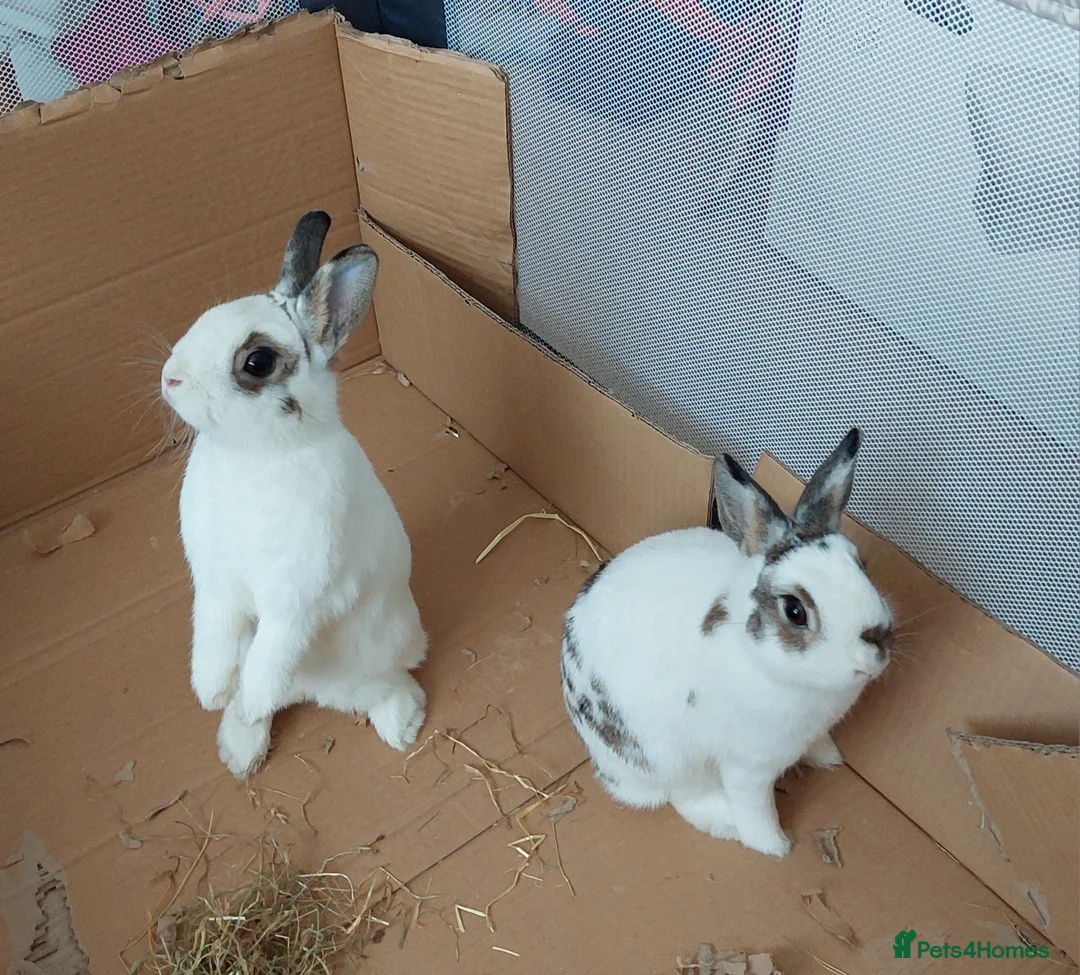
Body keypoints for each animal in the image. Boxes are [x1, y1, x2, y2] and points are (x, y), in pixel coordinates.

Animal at [161, 210, 428, 778]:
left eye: (257, 362)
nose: (169, 379)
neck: (255, 455)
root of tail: (313, 688)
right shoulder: (215, 583)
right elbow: (212, 633)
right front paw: (209, 693)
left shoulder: (296, 593)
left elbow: (276, 645)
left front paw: (248, 695)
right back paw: (240, 743)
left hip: (386, 647)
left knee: (384, 686)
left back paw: (402, 722)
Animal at [560, 429, 893, 857]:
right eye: (795, 611)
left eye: (860, 565)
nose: (876, 650)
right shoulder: (748, 765)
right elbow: (755, 804)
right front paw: (774, 846)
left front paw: (830, 757)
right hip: (669, 756)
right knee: (686, 797)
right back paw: (726, 824)